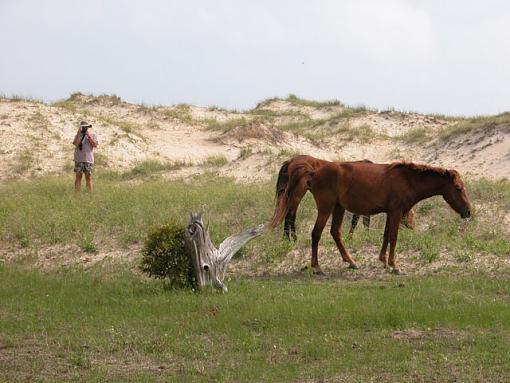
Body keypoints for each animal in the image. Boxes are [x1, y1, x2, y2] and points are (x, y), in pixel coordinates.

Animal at [270, 155, 414, 240]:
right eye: (412, 215)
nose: (412, 228)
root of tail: (291, 161)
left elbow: (364, 221)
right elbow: (357, 221)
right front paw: (352, 237)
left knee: (288, 215)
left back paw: (287, 238)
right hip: (298, 194)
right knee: (290, 215)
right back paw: (293, 239)